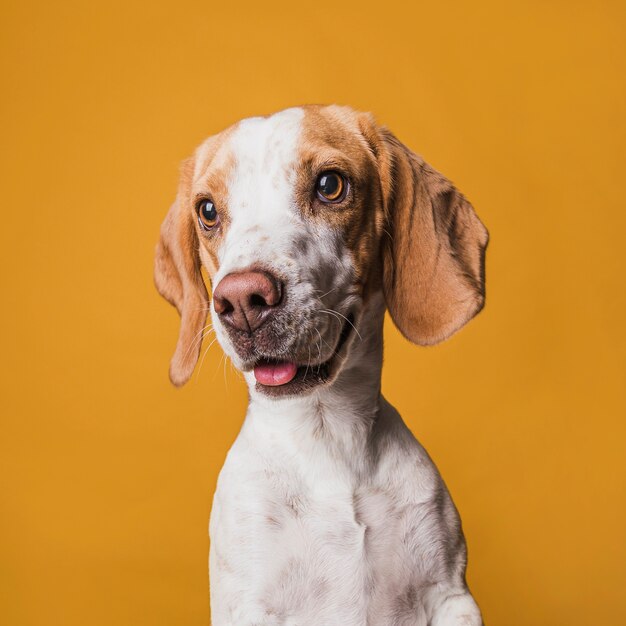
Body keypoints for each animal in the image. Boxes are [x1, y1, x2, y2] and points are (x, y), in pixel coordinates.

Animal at [154, 105, 486, 620]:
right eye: (207, 211)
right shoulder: (249, 605)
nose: (241, 300)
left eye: (330, 185)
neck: (327, 435)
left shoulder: (451, 597)